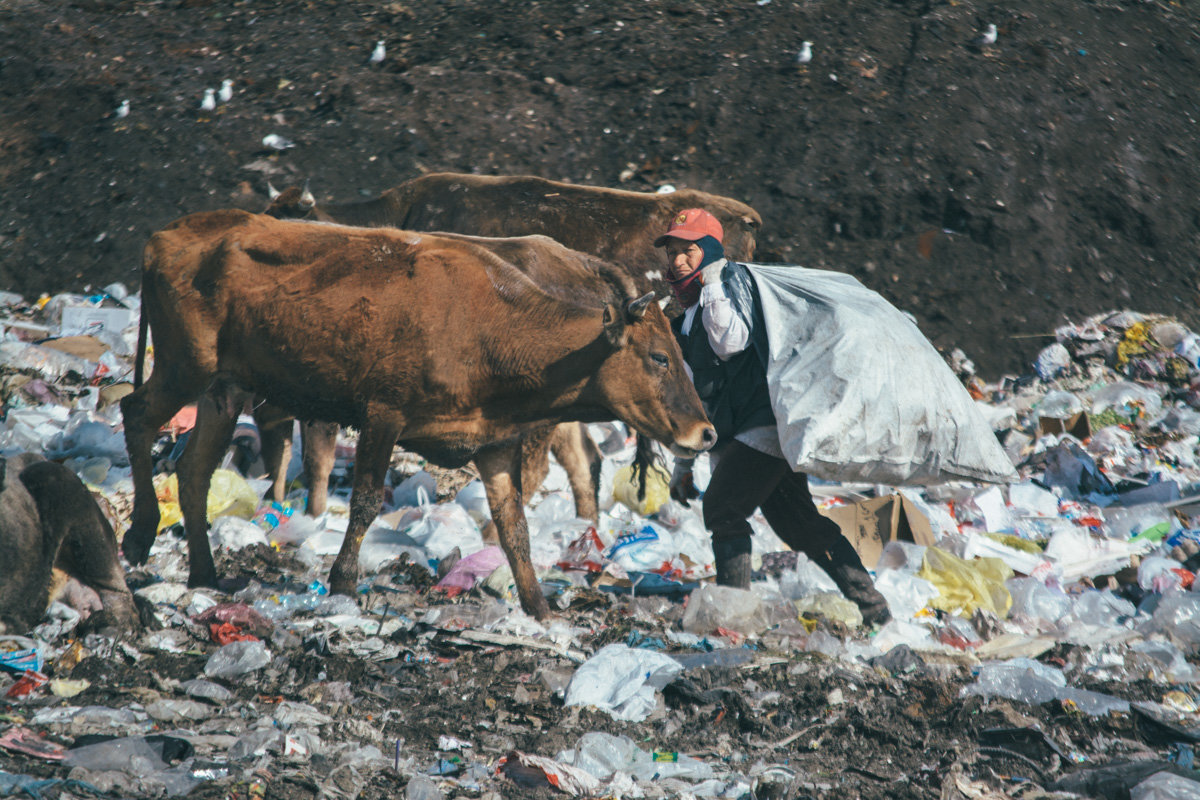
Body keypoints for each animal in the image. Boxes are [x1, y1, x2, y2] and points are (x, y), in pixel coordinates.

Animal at [123, 211, 715, 618]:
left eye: (681, 354)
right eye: (659, 357)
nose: (705, 433)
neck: (492, 329)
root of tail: (167, 234)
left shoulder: (494, 442)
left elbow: (514, 526)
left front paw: (539, 607)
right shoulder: (382, 414)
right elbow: (364, 502)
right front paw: (343, 582)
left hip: (224, 387)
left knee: (194, 469)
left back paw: (204, 572)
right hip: (184, 365)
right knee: (136, 414)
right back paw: (140, 532)